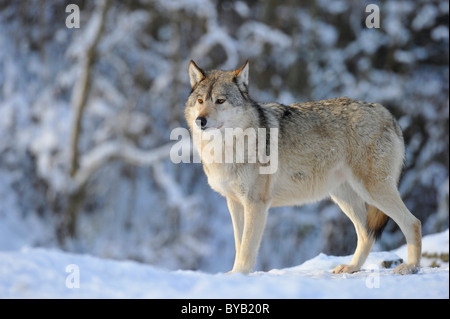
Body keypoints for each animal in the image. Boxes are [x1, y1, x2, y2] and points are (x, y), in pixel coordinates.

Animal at [184, 60, 422, 276]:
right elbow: (239, 243)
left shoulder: (255, 203)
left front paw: (238, 275)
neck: (225, 148)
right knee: (366, 234)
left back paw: (410, 267)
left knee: (413, 222)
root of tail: (386, 113)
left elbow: (247, 248)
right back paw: (351, 268)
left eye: (220, 101)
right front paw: (235, 274)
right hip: (345, 197)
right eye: (200, 101)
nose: (200, 120)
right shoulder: (234, 203)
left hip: (373, 191)